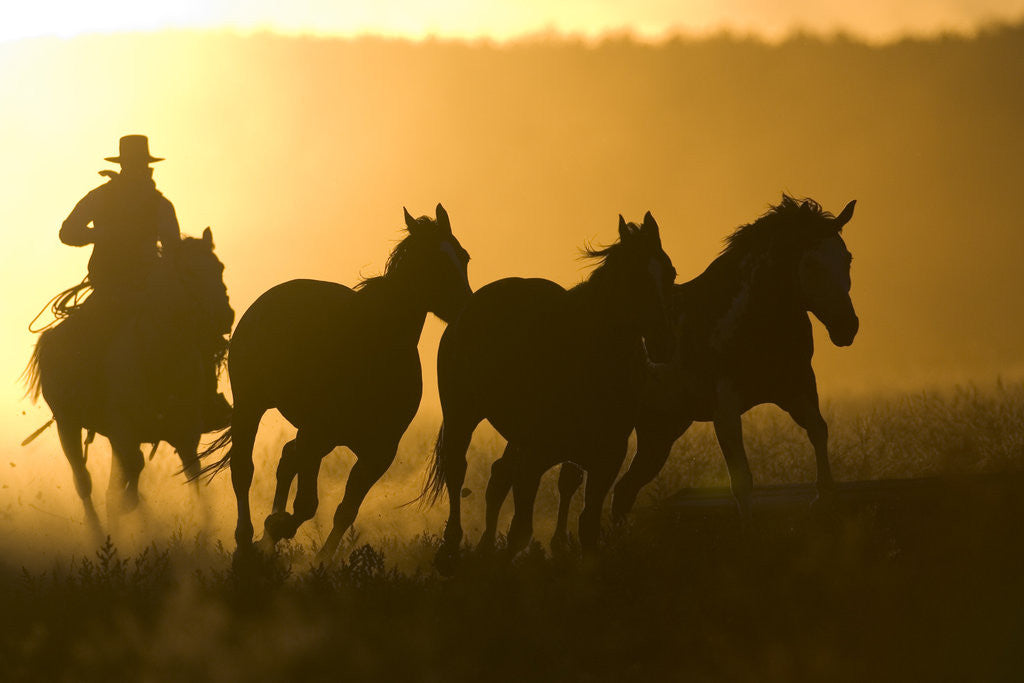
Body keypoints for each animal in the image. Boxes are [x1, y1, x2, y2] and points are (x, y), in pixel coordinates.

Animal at [25, 227, 234, 534]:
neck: (161, 356)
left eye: (219, 268)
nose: (225, 316)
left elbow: (193, 475)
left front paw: (205, 528)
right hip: (68, 425)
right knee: (84, 482)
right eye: (189, 272)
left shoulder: (185, 433)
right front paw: (129, 505)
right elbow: (133, 468)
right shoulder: (123, 428)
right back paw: (100, 534)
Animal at [198, 204, 471, 561]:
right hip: (252, 406)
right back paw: (246, 542)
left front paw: (318, 561)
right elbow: (306, 505)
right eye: (432, 262)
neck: (373, 355)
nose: (469, 308)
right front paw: (274, 530)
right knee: (244, 469)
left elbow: (345, 510)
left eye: (464, 257)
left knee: (286, 458)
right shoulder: (316, 434)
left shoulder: (379, 452)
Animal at [424, 212, 676, 570]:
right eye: (633, 276)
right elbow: (520, 531)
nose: (663, 342)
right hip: (462, 414)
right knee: (458, 469)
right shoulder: (535, 457)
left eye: (670, 274)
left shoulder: (608, 457)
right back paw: (450, 547)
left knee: (498, 476)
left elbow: (587, 526)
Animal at [552, 195, 858, 539]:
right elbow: (741, 480)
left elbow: (819, 431)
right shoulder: (725, 409)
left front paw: (824, 503)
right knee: (571, 481)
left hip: (660, 431)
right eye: (810, 264)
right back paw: (561, 543)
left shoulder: (798, 388)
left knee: (624, 490)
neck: (749, 319)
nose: (847, 328)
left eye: (847, 258)